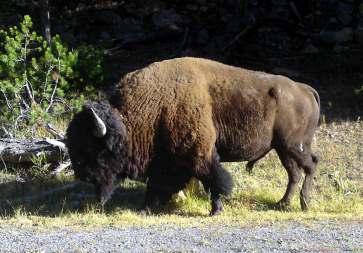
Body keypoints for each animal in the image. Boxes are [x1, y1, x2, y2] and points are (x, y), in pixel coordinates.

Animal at [66, 56, 322, 214]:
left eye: (93, 148)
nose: (82, 175)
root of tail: (304, 89)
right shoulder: (168, 159)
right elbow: (160, 183)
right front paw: (146, 208)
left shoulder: (199, 153)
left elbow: (213, 178)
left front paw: (215, 210)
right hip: (283, 149)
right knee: (295, 173)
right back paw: (283, 204)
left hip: (292, 146)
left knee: (309, 166)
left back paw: (304, 203)